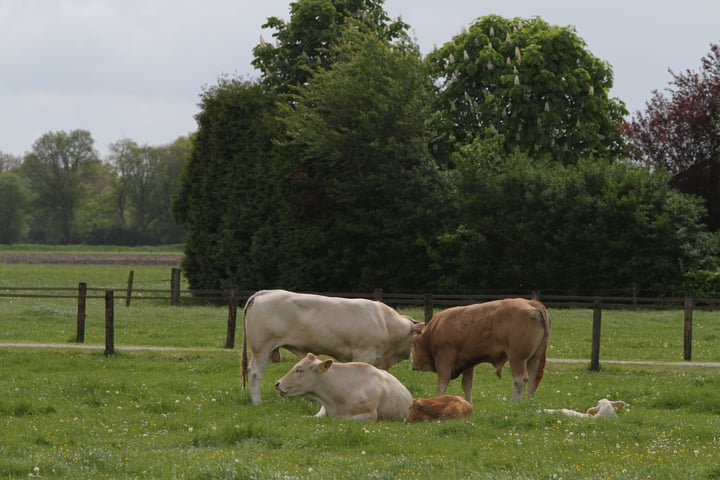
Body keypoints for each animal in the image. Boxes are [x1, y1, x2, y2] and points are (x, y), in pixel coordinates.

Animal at [242, 288, 422, 404]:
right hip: (262, 347)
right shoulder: (364, 353)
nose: (411, 359)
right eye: (413, 338)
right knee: (256, 373)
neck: (384, 323)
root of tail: (265, 292)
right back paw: (257, 401)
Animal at [410, 298, 552, 404]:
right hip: (534, 357)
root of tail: (532, 303)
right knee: (533, 380)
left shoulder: (444, 358)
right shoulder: (468, 363)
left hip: (517, 357)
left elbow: (442, 384)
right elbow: (467, 385)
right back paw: (528, 403)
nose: (412, 365)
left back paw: (514, 404)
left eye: (413, 344)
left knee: (520, 380)